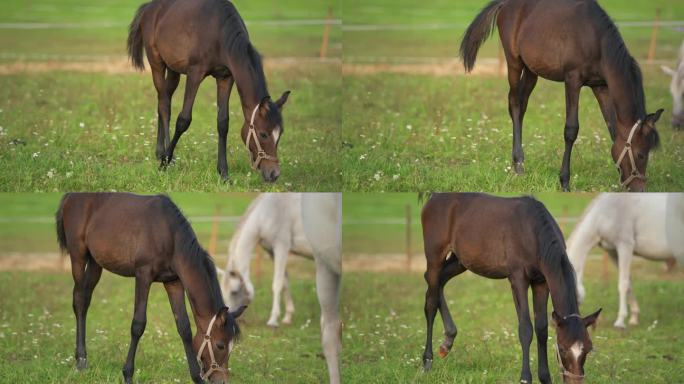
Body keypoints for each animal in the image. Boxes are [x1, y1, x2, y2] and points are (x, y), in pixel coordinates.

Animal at [219, 195, 312, 328]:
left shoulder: (282, 248)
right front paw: (287, 317)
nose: (226, 321)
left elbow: (277, 284)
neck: (268, 213)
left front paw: (273, 320)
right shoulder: (271, 251)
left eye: (234, 292)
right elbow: (285, 282)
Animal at [568, 194, 684, 328]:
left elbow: (622, 284)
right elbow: (628, 283)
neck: (604, 214)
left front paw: (620, 321)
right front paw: (634, 318)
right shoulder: (613, 251)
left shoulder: (625, 246)